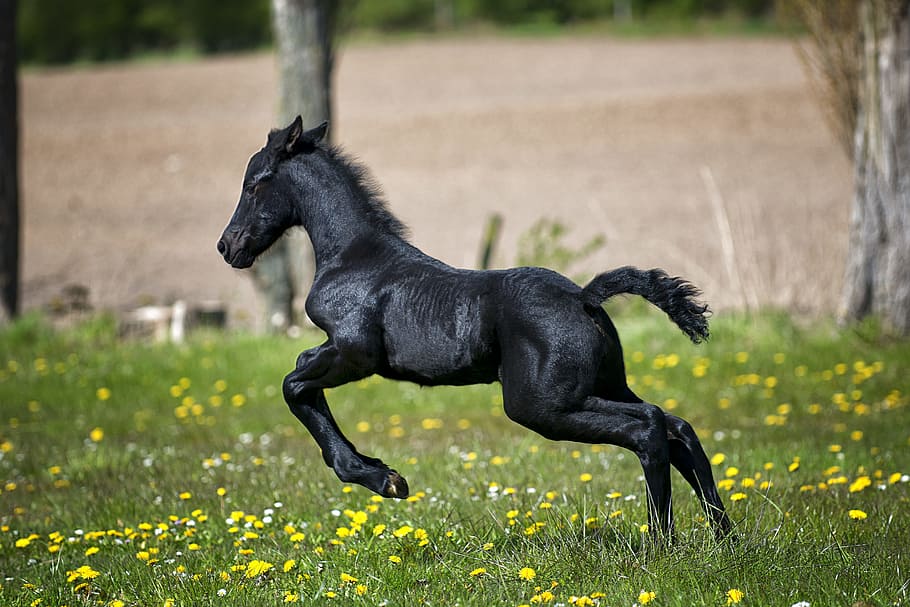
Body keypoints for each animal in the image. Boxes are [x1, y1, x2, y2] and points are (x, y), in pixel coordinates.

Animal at [216, 116, 732, 540]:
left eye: (254, 184)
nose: (227, 246)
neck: (353, 256)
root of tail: (584, 297)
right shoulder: (340, 353)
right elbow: (301, 382)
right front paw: (380, 471)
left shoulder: (353, 353)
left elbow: (294, 383)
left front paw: (383, 479)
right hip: (601, 386)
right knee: (677, 426)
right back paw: (723, 537)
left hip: (543, 405)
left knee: (649, 427)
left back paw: (661, 542)